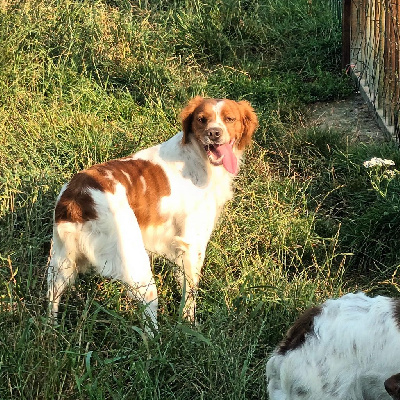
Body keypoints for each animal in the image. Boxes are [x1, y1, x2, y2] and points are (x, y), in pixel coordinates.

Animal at [47, 97, 260, 334]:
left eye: (229, 119)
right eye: (201, 119)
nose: (213, 133)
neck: (197, 158)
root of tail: (76, 197)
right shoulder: (193, 243)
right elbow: (190, 292)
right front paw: (190, 325)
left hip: (61, 263)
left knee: (52, 296)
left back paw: (51, 332)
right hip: (136, 265)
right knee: (148, 320)